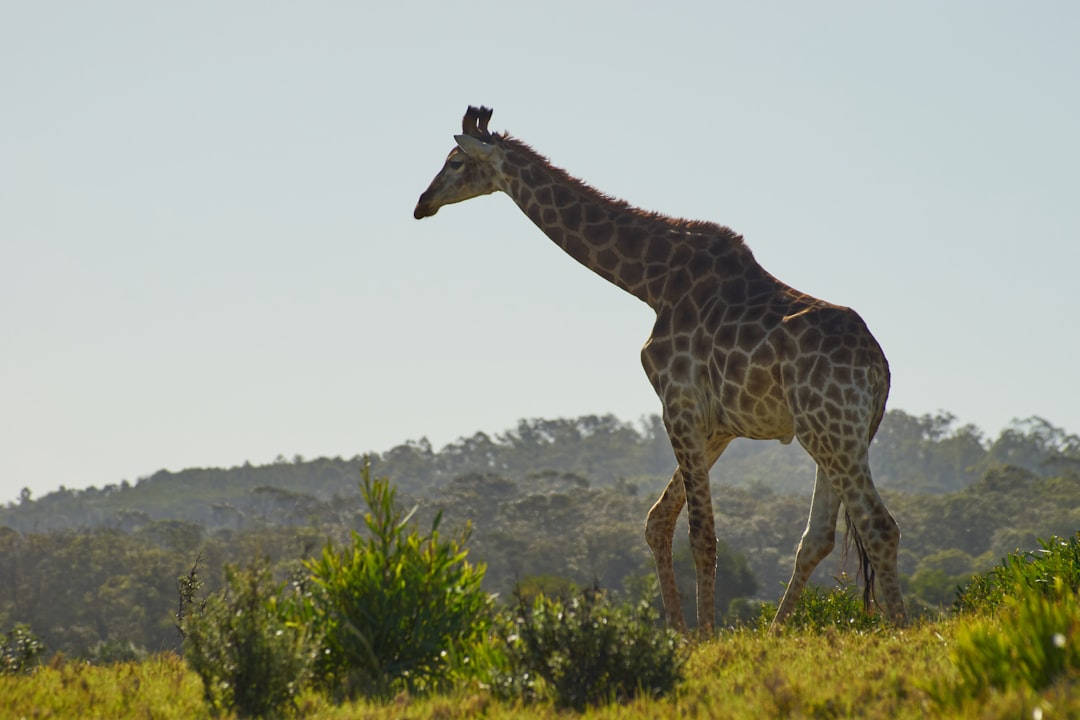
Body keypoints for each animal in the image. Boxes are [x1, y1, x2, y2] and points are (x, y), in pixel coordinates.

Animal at [412, 104, 902, 634]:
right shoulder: (717, 425)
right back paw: (778, 632)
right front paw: (681, 636)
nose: (422, 203)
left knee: (878, 525)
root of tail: (879, 367)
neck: (652, 282)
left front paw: (705, 637)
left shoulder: (678, 403)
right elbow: (658, 520)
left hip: (831, 429)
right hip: (833, 433)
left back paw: (903, 628)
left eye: (454, 161)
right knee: (819, 536)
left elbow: (701, 533)